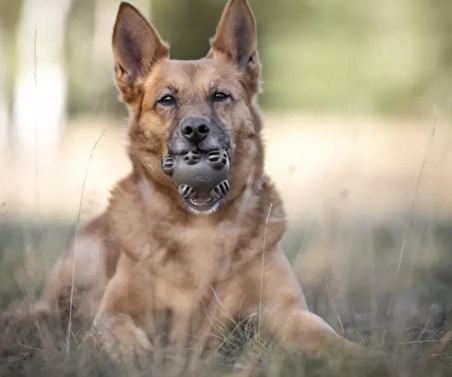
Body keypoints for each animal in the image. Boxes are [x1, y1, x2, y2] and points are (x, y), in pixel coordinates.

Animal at [35, 0, 368, 370]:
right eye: (166, 100)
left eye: (220, 96)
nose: (195, 130)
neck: (201, 228)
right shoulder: (114, 312)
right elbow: (119, 330)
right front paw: (138, 354)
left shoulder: (286, 312)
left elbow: (329, 338)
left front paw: (367, 357)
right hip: (84, 263)